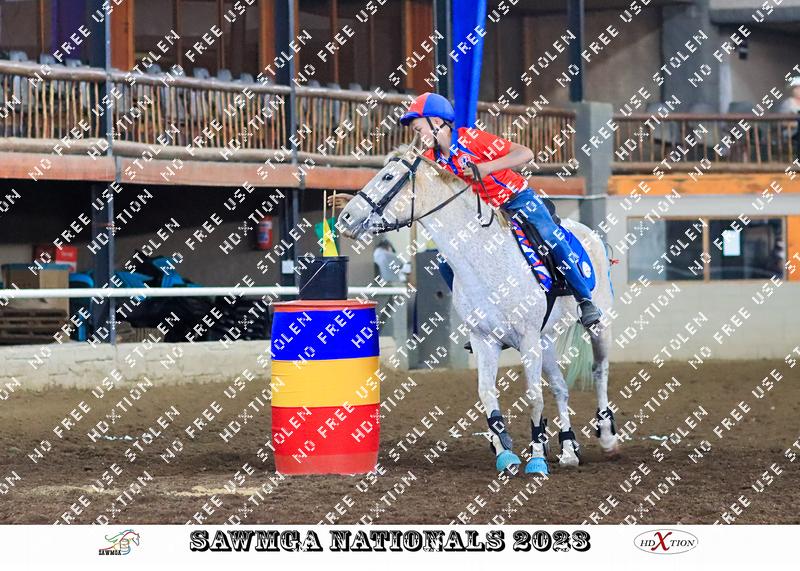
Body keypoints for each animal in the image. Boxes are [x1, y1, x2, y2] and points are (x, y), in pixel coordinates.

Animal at [337, 145, 619, 475]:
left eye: (388, 176)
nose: (345, 216)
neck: (485, 257)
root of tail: (590, 234)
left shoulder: (527, 338)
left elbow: (533, 396)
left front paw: (536, 458)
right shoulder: (485, 339)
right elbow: (487, 393)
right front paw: (504, 450)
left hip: (598, 327)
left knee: (599, 371)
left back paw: (607, 438)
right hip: (546, 340)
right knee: (561, 387)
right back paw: (569, 449)